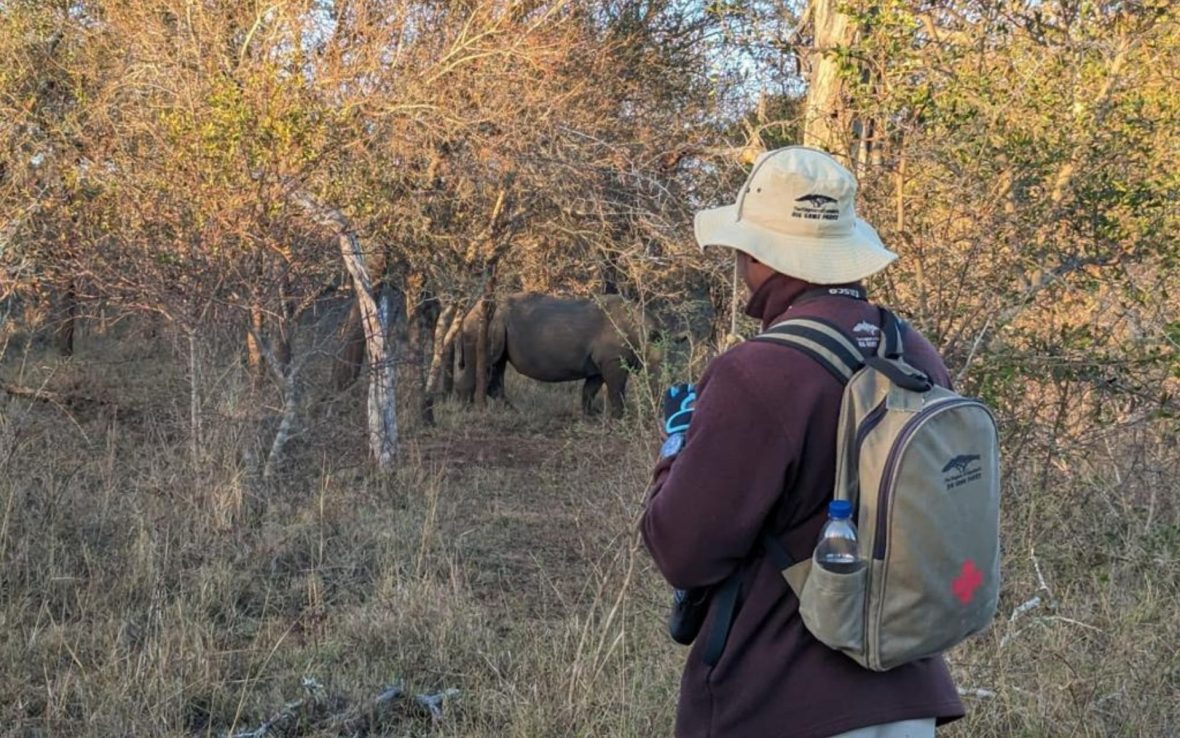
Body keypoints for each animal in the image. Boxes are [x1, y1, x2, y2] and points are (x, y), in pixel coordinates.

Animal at [456, 292, 662, 418]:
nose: (658, 408)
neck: (642, 330)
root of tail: (469, 312)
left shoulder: (600, 363)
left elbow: (590, 389)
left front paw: (590, 415)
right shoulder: (614, 359)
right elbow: (616, 390)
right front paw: (620, 418)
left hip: (497, 324)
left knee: (498, 364)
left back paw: (512, 411)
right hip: (486, 323)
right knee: (484, 364)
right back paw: (467, 411)